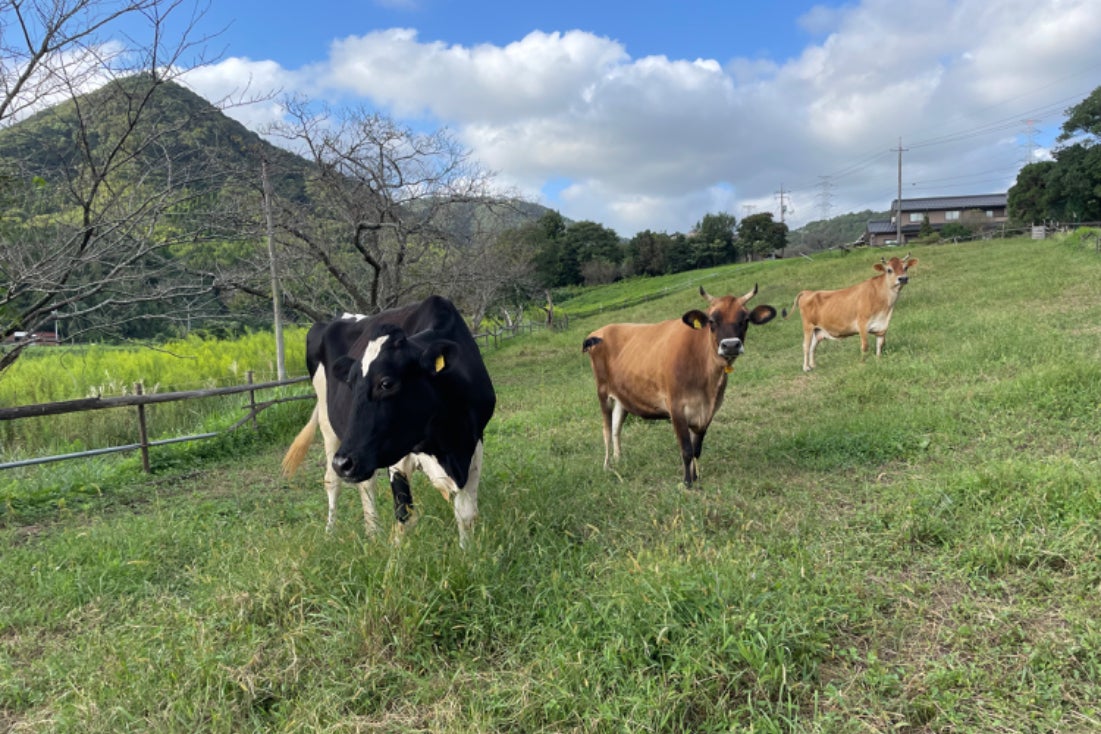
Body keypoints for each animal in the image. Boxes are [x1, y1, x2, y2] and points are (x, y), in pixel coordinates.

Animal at [281, 296, 496, 548]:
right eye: (351, 384)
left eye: (386, 383)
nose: (343, 462)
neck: (446, 443)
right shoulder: (399, 455)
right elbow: (405, 517)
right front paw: (396, 555)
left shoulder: (473, 442)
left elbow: (466, 513)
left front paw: (466, 552)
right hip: (329, 424)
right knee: (333, 481)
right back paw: (333, 532)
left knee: (365, 482)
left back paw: (372, 530)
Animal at [582, 285, 777, 486]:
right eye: (712, 321)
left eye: (745, 320)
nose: (730, 345)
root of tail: (600, 331)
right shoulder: (676, 407)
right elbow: (686, 450)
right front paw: (687, 483)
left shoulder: (708, 411)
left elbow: (697, 449)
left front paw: (696, 477)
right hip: (602, 392)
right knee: (606, 429)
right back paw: (607, 466)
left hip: (623, 394)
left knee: (616, 427)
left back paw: (619, 459)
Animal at [786, 254, 918, 372]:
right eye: (889, 270)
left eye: (906, 267)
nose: (903, 278)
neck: (885, 307)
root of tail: (808, 292)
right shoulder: (862, 324)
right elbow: (865, 346)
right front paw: (862, 363)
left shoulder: (882, 327)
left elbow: (880, 345)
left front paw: (878, 360)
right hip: (808, 326)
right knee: (806, 346)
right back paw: (806, 368)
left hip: (818, 329)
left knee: (813, 346)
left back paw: (813, 365)